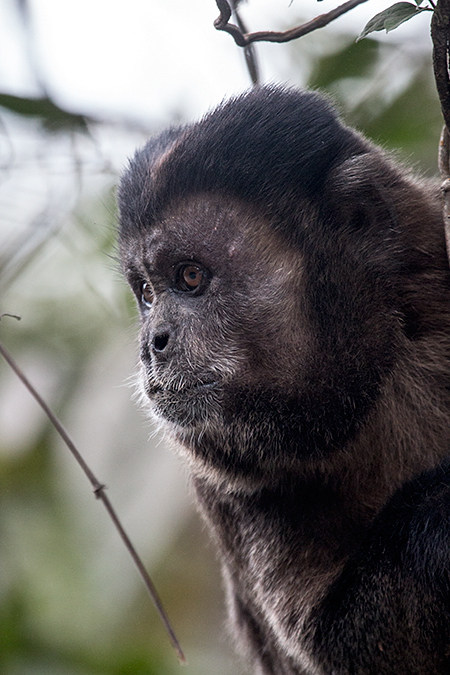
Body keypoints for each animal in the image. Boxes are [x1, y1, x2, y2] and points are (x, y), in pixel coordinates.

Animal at [118, 86, 450, 675]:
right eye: (148, 294)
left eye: (190, 277)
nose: (151, 342)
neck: (379, 384)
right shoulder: (223, 486)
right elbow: (338, 648)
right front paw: (441, 510)